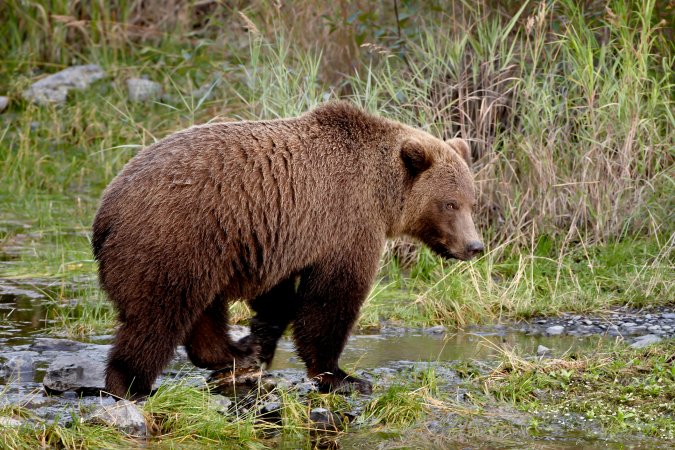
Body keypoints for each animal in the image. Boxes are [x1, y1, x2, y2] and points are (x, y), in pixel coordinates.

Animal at [92, 101, 484, 398]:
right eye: (449, 204)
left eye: (471, 201)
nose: (474, 246)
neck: (384, 194)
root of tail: (106, 210)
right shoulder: (345, 221)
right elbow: (331, 299)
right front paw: (343, 376)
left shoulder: (273, 236)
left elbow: (278, 297)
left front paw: (259, 342)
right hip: (173, 238)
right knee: (157, 315)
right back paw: (131, 385)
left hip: (207, 251)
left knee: (201, 309)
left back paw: (235, 354)